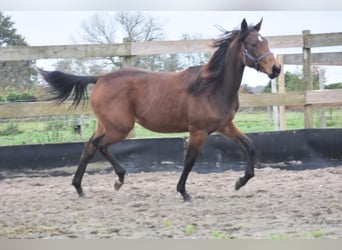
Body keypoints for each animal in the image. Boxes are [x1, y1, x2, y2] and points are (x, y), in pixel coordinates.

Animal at [38, 18, 282, 202]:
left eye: (266, 42)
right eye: (252, 44)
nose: (276, 68)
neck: (211, 87)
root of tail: (100, 78)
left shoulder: (225, 126)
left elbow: (250, 146)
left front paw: (240, 182)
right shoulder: (198, 131)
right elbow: (189, 160)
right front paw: (184, 193)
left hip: (106, 125)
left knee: (89, 147)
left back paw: (79, 187)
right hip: (120, 127)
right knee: (99, 145)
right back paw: (118, 179)